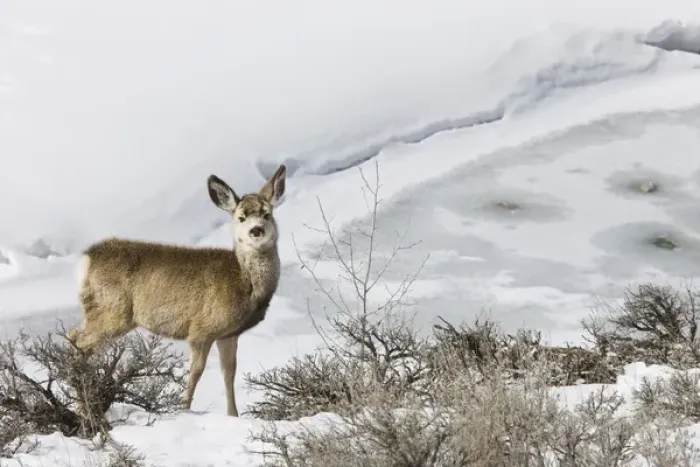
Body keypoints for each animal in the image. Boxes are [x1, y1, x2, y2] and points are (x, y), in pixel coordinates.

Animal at [67, 164, 287, 417]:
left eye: (267, 214)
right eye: (241, 217)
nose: (256, 230)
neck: (242, 282)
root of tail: (86, 259)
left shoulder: (228, 333)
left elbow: (229, 373)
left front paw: (233, 415)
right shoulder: (201, 329)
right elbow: (196, 373)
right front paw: (183, 411)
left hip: (97, 311)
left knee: (78, 340)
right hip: (113, 310)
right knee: (79, 343)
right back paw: (83, 407)